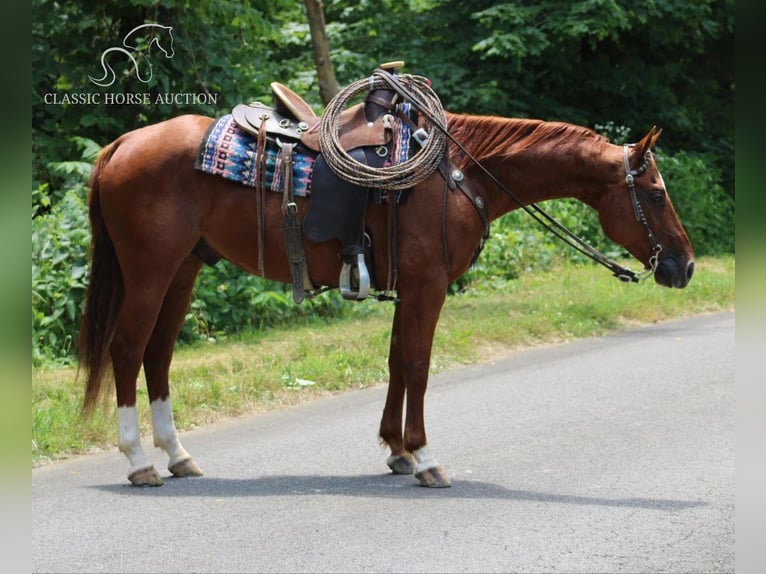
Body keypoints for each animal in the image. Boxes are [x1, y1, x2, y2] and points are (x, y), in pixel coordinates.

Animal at [76, 95, 696, 490]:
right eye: (656, 195)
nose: (684, 266)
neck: (461, 172)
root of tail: (123, 143)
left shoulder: (409, 289)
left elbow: (398, 362)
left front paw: (396, 451)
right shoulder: (427, 287)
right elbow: (418, 365)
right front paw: (423, 457)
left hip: (183, 270)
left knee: (158, 355)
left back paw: (178, 455)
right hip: (150, 272)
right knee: (128, 350)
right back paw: (138, 462)